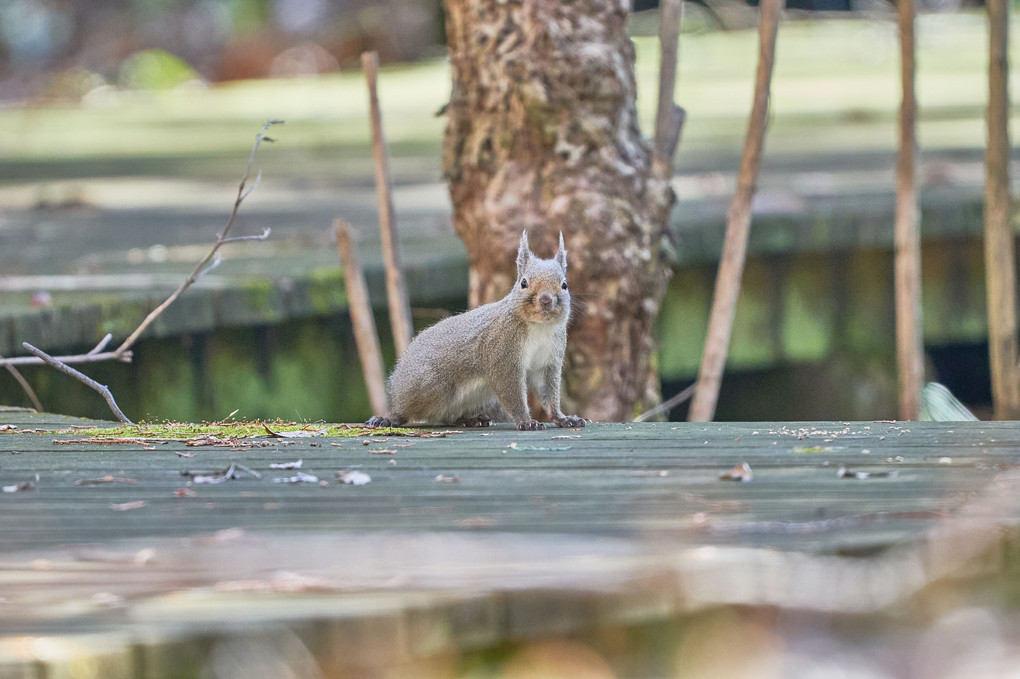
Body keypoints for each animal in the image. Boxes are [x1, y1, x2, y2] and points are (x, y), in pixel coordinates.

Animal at [371, 231, 587, 428]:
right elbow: (513, 395)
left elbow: (548, 394)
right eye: (524, 282)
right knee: (409, 409)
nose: (545, 299)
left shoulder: (548, 361)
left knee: (446, 416)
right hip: (428, 386)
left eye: (564, 284)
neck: (539, 328)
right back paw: (389, 418)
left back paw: (470, 419)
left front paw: (563, 418)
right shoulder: (503, 356)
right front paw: (526, 421)